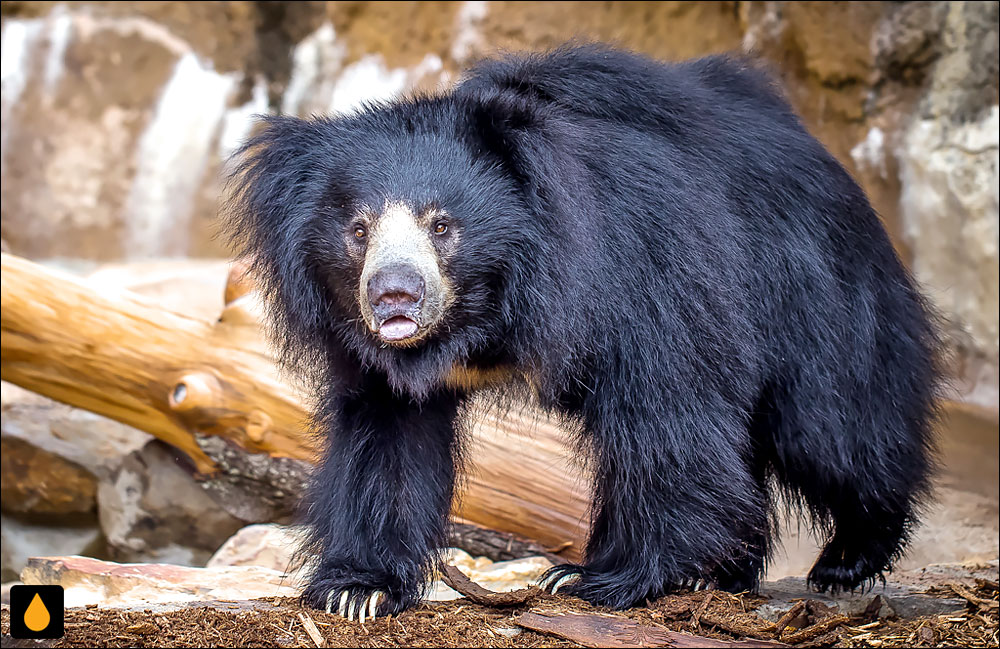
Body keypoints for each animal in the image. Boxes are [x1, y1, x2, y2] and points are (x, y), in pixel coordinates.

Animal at [223, 43, 940, 620]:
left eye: (442, 224)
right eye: (359, 229)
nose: (394, 295)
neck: (486, 309)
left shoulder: (640, 269)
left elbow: (663, 418)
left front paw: (593, 578)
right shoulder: (376, 360)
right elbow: (387, 440)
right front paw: (359, 589)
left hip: (815, 291)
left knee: (830, 426)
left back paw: (847, 558)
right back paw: (724, 572)